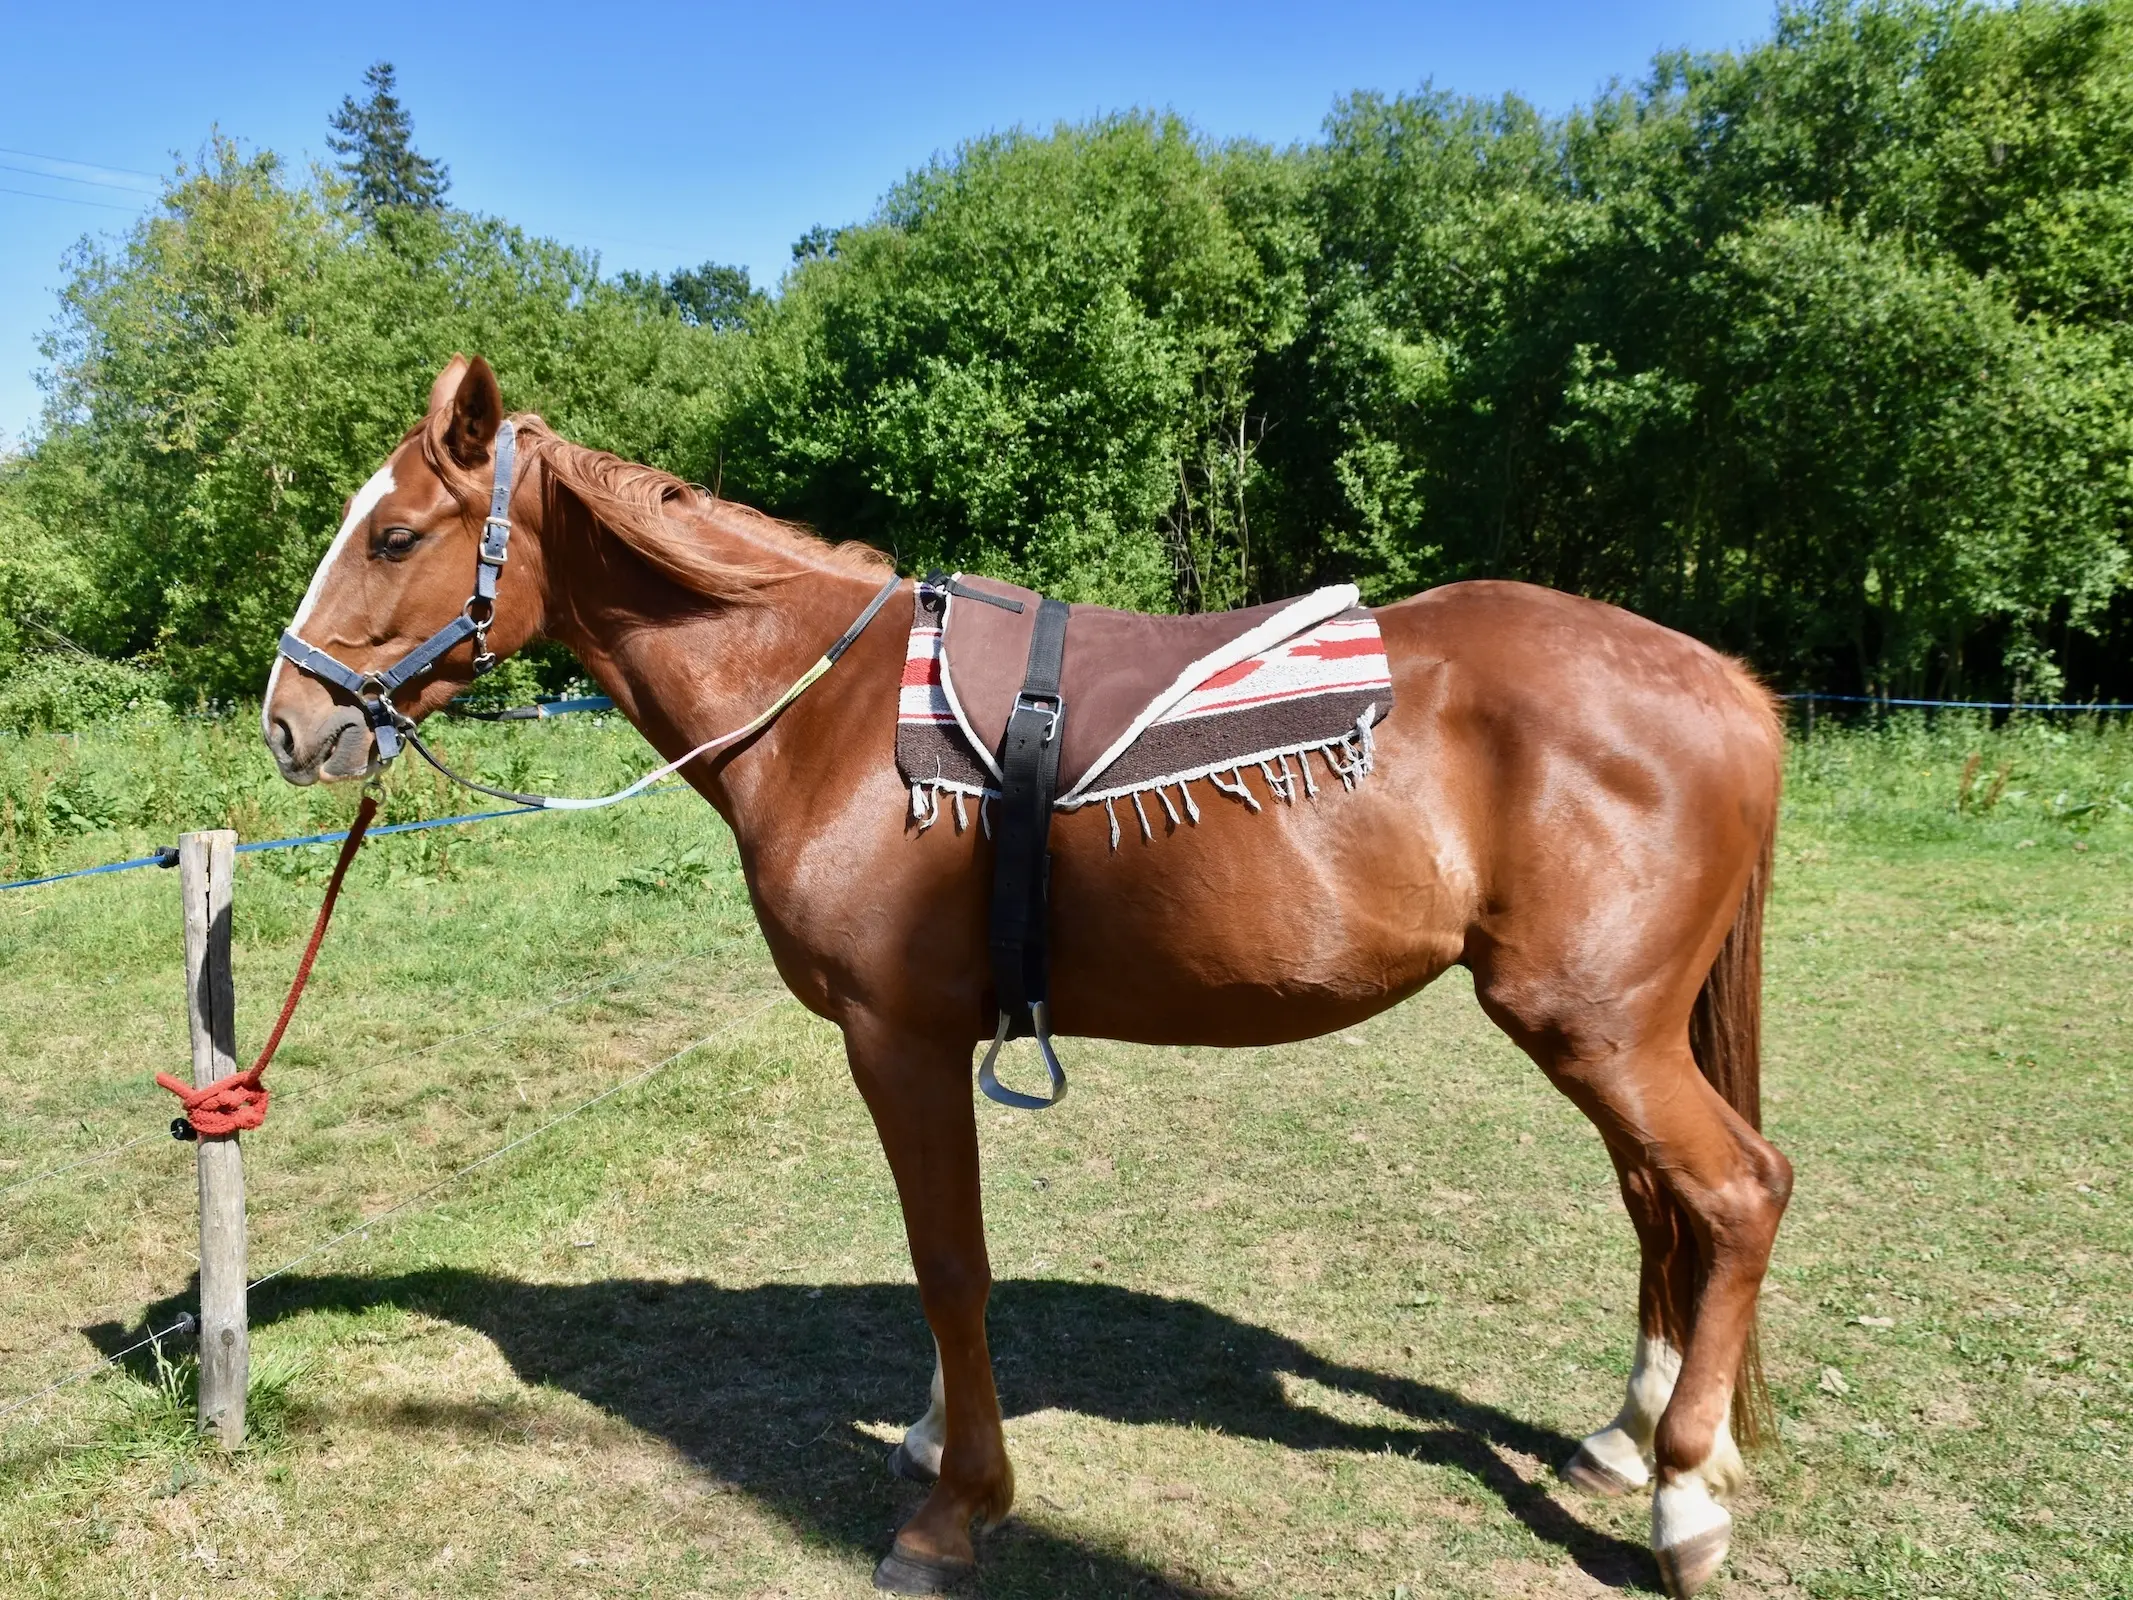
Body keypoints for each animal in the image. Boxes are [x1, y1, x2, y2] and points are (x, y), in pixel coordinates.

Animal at [266, 356, 1800, 1595]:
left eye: (395, 533)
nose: (290, 722)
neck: (827, 709)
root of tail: (1728, 680)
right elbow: (937, 1265)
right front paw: (934, 1434)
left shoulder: (899, 1034)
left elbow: (950, 1264)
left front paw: (959, 1510)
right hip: (1618, 1037)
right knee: (1661, 1204)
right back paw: (1630, 1437)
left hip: (1592, 1029)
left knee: (1735, 1193)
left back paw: (1681, 1502)